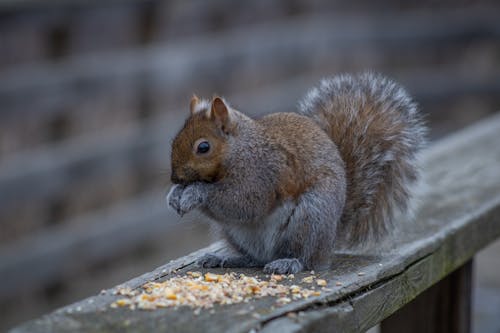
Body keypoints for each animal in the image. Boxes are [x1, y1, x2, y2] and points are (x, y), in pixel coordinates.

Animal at [166, 72, 424, 272]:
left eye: (203, 147)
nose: (174, 177)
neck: (241, 149)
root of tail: (331, 238)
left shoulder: (262, 173)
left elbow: (244, 203)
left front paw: (194, 193)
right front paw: (174, 194)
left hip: (310, 218)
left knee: (305, 258)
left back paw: (289, 263)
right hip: (236, 234)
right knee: (256, 259)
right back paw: (228, 258)